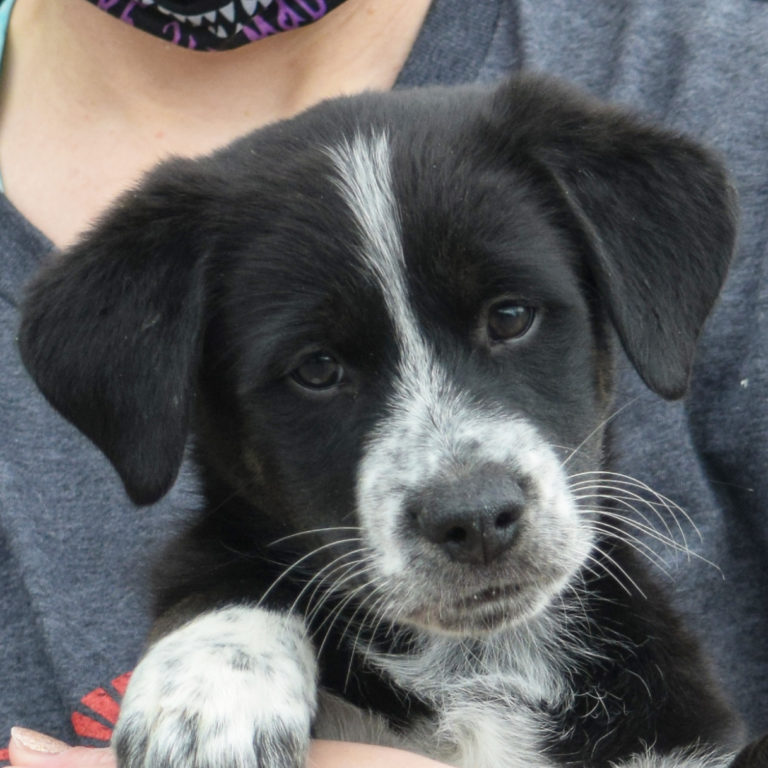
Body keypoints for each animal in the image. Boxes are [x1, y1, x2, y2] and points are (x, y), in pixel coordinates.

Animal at [16, 76, 756, 768]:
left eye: (511, 316)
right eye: (317, 368)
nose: (475, 519)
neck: (481, 663)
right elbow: (215, 568)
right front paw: (208, 698)